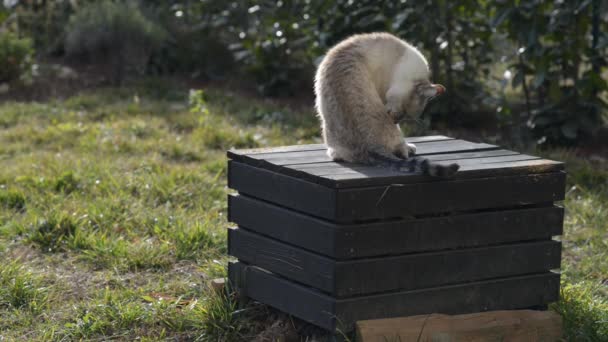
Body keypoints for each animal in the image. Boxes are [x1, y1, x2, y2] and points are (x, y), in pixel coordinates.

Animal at [316, 32, 458, 178]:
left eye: (406, 116)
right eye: (404, 113)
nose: (395, 121)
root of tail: (370, 148)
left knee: (336, 155)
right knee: (402, 151)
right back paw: (409, 148)